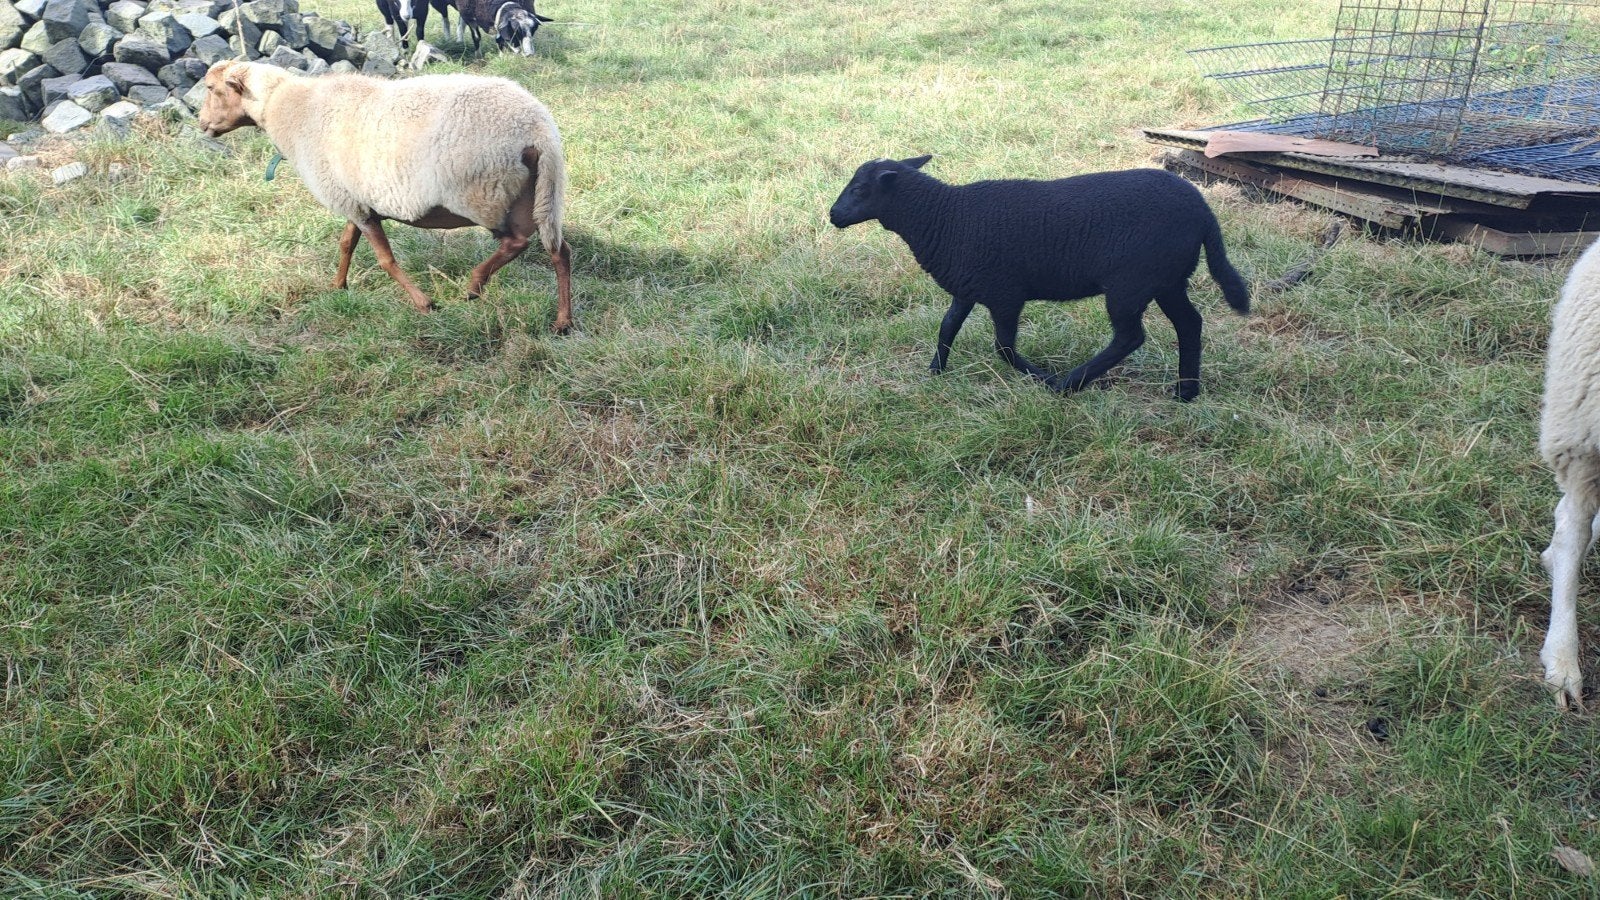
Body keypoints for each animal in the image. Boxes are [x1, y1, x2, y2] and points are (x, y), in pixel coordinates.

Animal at [196, 61, 573, 331]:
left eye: (212, 89)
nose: (201, 125)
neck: (289, 108)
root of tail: (538, 129)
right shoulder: (355, 200)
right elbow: (346, 244)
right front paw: (337, 286)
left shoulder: (355, 204)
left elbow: (385, 260)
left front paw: (424, 304)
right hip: (539, 194)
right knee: (559, 251)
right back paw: (562, 321)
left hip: (486, 194)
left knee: (517, 243)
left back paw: (474, 285)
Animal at [828, 156, 1251, 401]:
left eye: (861, 189)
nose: (833, 215)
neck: (945, 217)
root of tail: (1203, 210)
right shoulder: (968, 286)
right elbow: (947, 327)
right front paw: (935, 371)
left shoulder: (1004, 293)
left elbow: (1003, 348)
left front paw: (1041, 378)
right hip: (1166, 278)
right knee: (1189, 324)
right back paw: (1186, 392)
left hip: (1131, 281)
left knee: (1130, 337)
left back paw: (1068, 385)